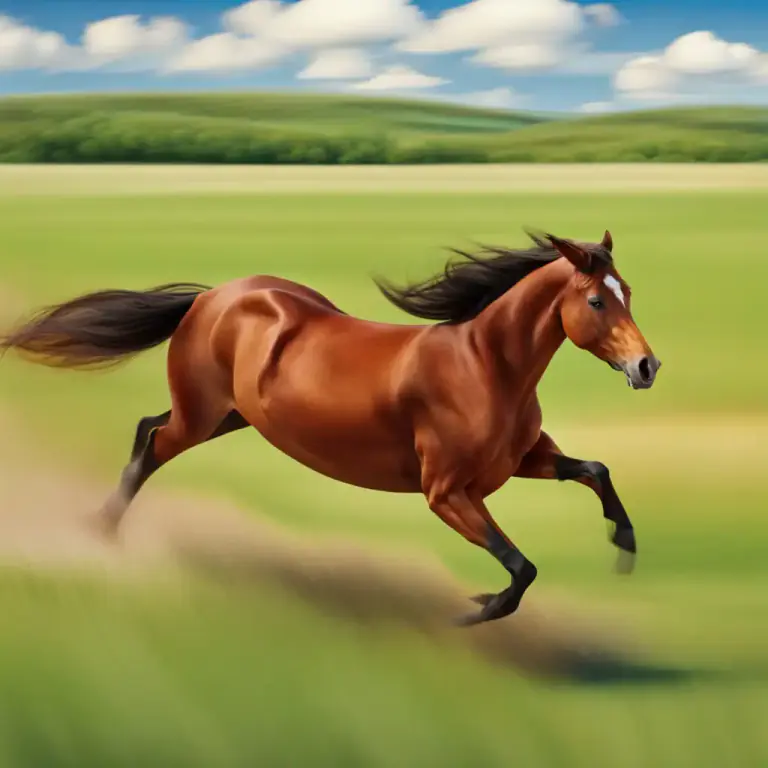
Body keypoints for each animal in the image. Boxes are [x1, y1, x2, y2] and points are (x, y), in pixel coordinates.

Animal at [1, 229, 660, 626]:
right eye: (597, 301)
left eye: (628, 291)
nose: (646, 367)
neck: (486, 365)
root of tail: (212, 296)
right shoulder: (447, 493)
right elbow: (520, 567)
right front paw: (473, 609)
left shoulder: (521, 462)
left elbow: (595, 470)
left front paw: (625, 542)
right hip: (201, 415)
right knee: (153, 446)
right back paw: (99, 533)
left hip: (230, 417)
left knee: (146, 431)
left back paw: (101, 530)